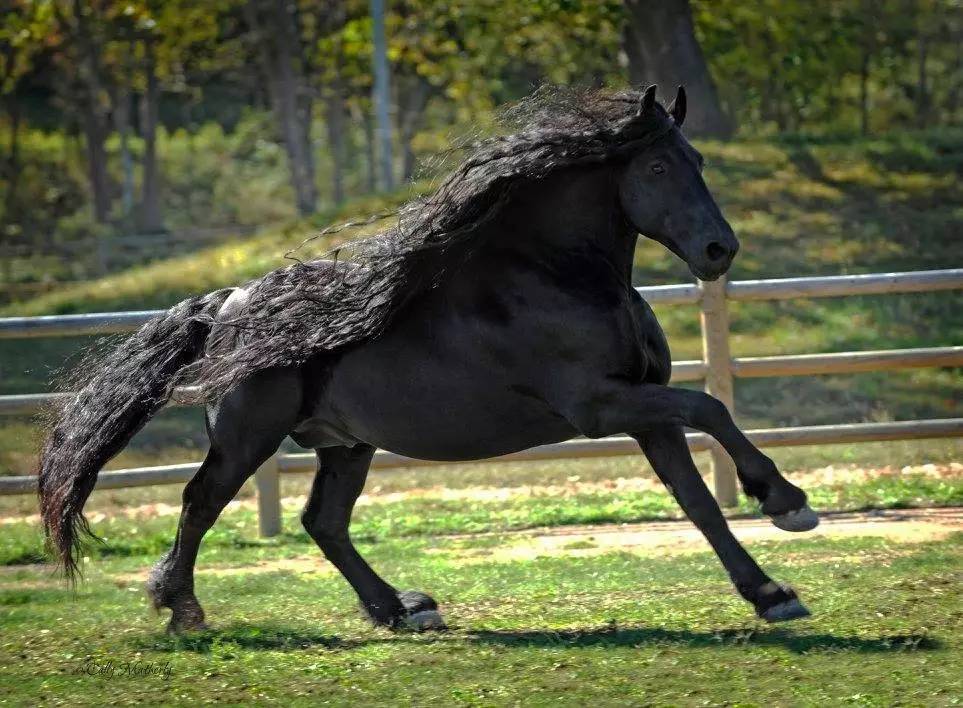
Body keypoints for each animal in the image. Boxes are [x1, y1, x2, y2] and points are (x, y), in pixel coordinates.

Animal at [41, 85, 816, 632]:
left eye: (699, 163)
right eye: (657, 165)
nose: (718, 250)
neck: (557, 276)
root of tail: (227, 302)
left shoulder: (642, 408)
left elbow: (696, 498)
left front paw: (770, 592)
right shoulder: (601, 405)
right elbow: (710, 406)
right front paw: (785, 502)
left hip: (344, 445)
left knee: (323, 522)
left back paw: (401, 609)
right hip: (247, 437)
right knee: (201, 502)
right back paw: (183, 610)